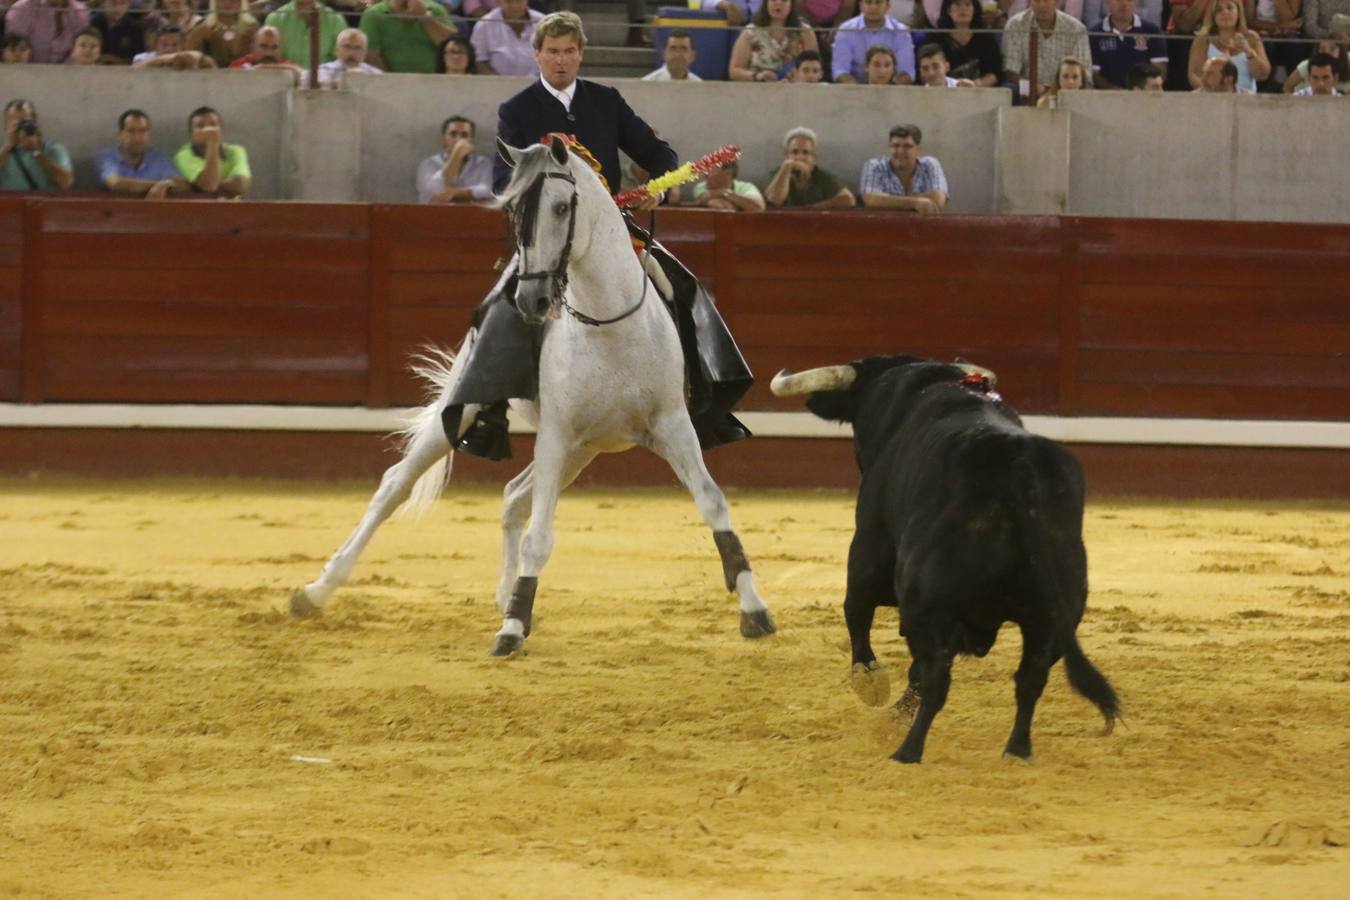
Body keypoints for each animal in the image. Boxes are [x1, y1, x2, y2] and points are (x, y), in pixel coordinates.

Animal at [290, 135, 777, 655]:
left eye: (562, 207)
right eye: (513, 212)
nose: (532, 301)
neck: (608, 323)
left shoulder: (671, 424)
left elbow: (713, 502)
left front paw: (754, 609)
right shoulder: (558, 433)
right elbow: (540, 537)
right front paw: (511, 630)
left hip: (583, 450)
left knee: (512, 497)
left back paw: (507, 595)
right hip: (467, 414)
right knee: (394, 486)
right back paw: (316, 591)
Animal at [777, 356, 1123, 766]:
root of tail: (1017, 463)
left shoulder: (868, 553)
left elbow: (856, 611)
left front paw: (870, 682)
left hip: (926, 603)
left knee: (936, 678)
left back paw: (907, 751)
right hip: (1053, 617)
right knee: (1029, 678)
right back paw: (1016, 750)